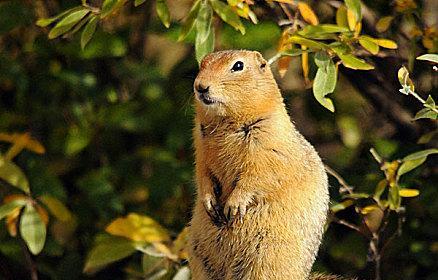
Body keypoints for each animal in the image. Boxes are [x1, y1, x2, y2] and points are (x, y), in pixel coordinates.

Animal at [186, 50, 340, 280]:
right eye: (202, 63)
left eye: (238, 66)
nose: (200, 86)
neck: (225, 123)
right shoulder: (200, 144)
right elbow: (202, 174)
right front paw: (209, 202)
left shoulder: (269, 143)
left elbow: (258, 176)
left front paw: (234, 205)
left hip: (266, 260)